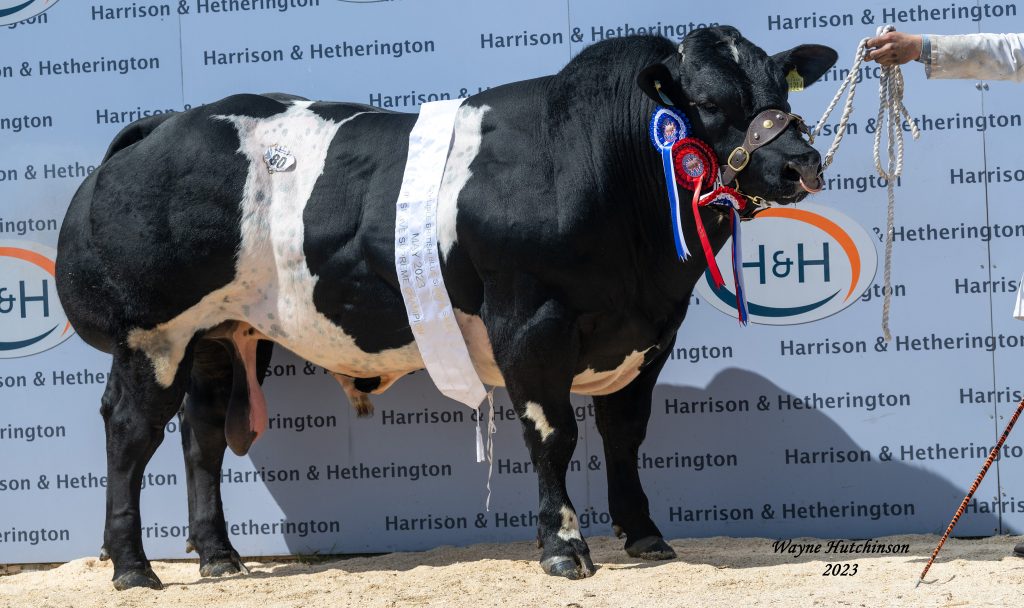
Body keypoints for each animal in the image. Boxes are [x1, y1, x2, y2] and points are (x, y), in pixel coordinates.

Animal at [54, 28, 831, 585]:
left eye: (778, 87)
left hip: (218, 334)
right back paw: (133, 567)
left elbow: (624, 435)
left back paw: (219, 557)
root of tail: (166, 123)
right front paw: (563, 547)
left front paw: (644, 535)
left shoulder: (649, 333)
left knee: (203, 435)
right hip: (152, 333)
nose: (800, 162)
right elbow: (554, 436)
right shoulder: (531, 323)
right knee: (130, 433)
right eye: (707, 103)